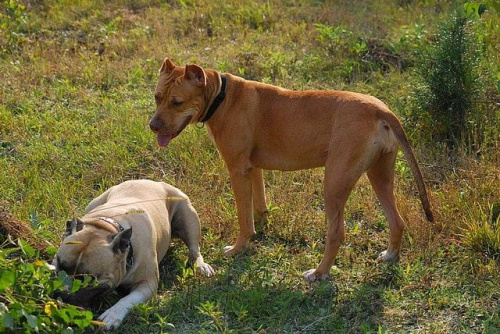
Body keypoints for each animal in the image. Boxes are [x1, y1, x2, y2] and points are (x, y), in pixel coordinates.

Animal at [52, 180, 213, 328]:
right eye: (60, 265)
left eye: (90, 279)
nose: (63, 295)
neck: (106, 227)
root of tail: (155, 182)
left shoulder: (147, 284)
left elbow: (128, 299)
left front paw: (113, 314)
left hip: (188, 216)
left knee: (194, 249)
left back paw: (202, 267)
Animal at [149, 58, 434, 282]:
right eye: (157, 97)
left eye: (177, 102)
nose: (152, 126)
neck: (220, 95)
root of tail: (380, 109)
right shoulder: (253, 169)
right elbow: (257, 207)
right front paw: (260, 230)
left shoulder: (238, 170)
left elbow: (242, 217)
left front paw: (238, 248)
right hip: (380, 176)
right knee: (396, 221)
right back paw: (390, 255)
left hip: (334, 183)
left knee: (336, 233)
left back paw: (319, 273)